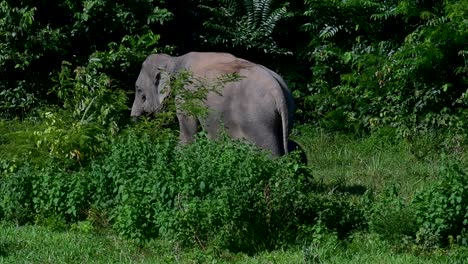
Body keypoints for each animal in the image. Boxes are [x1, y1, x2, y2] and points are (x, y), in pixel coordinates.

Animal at [130, 51, 294, 157]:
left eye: (139, 91)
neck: (173, 61)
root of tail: (276, 89)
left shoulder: (184, 97)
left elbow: (188, 134)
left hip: (258, 120)